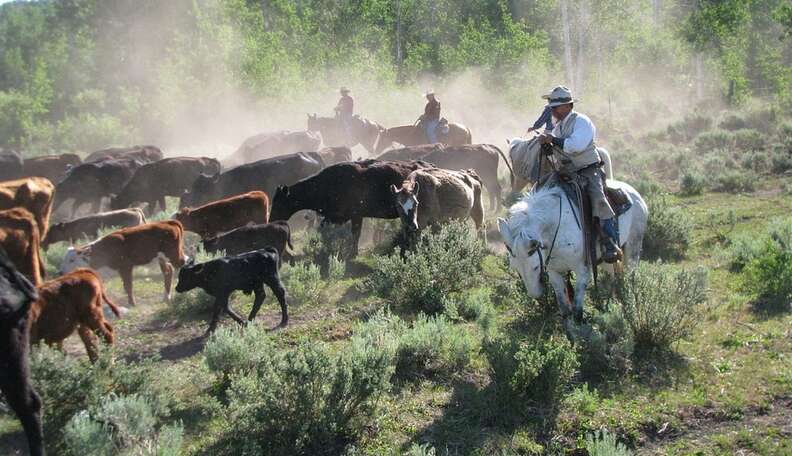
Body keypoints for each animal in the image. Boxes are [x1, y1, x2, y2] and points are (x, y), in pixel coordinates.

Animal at [270, 159, 436, 255]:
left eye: (279, 203)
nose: (270, 220)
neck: (327, 185)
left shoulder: (355, 215)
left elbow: (355, 233)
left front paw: (352, 253)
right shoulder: (338, 216)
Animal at [498, 183, 648, 330]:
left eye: (535, 267)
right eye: (515, 268)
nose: (535, 294)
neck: (556, 227)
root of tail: (634, 193)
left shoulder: (583, 271)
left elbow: (577, 311)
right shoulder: (553, 273)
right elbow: (564, 309)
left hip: (633, 248)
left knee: (629, 279)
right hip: (609, 261)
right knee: (616, 276)